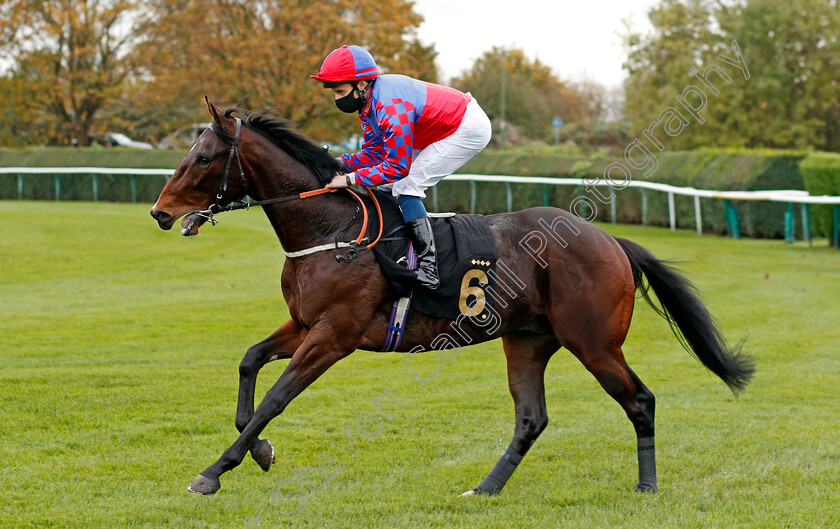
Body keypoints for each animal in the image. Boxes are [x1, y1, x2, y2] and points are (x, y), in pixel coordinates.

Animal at [149, 98, 756, 496]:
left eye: (203, 158)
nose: (160, 212)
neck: (330, 229)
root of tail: (609, 239)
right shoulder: (303, 325)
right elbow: (250, 362)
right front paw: (261, 452)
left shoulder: (333, 336)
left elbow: (275, 399)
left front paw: (214, 471)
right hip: (527, 340)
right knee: (531, 419)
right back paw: (484, 490)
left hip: (594, 343)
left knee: (640, 401)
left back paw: (646, 485)